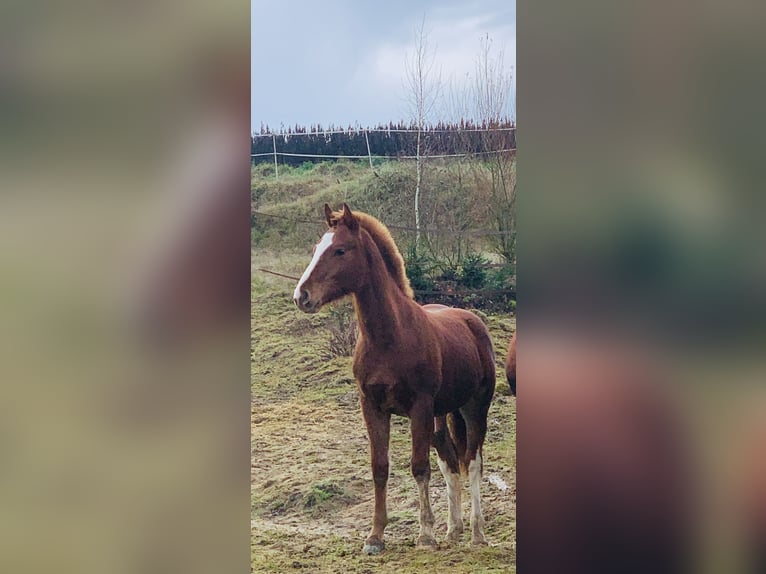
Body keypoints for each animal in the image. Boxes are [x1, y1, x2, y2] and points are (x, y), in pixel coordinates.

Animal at [294, 205, 498, 556]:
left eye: (340, 250)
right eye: (316, 248)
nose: (302, 296)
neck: (390, 338)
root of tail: (473, 321)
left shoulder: (419, 407)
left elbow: (419, 466)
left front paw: (425, 534)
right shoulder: (372, 407)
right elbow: (380, 467)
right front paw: (375, 537)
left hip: (474, 408)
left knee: (472, 461)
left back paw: (476, 532)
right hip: (442, 416)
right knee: (449, 461)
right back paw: (453, 530)